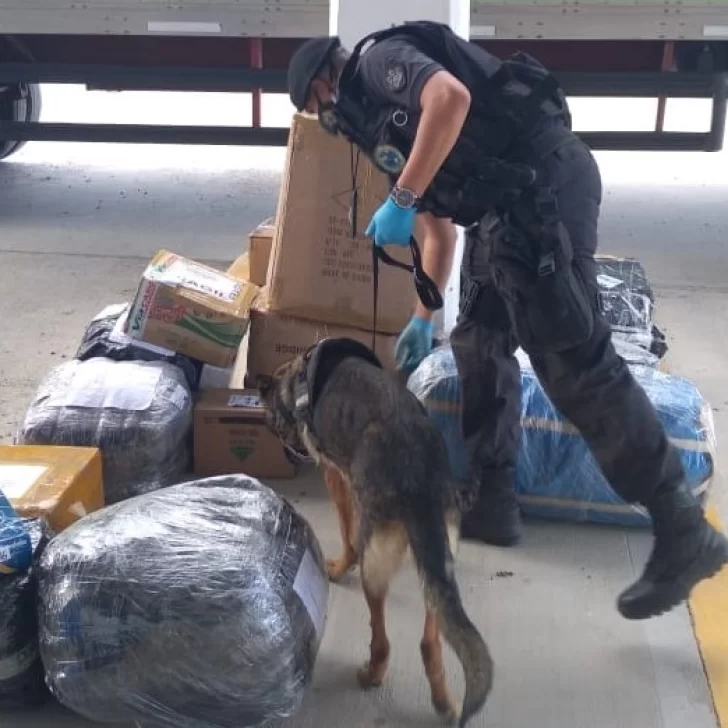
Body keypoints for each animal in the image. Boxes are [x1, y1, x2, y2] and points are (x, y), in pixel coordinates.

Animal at [258, 338, 494, 724]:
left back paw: (372, 674)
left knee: (382, 641)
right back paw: (442, 700)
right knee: (431, 639)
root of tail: (420, 476)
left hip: (375, 566)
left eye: (271, 421)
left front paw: (340, 567)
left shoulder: (336, 478)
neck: (296, 378)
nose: (288, 448)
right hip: (439, 558)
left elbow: (347, 533)